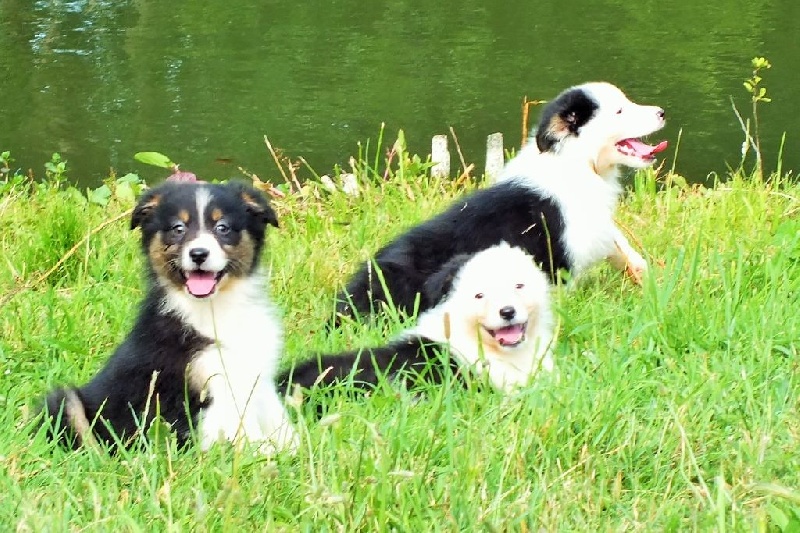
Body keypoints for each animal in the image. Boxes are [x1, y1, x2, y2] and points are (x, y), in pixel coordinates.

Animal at [39, 181, 298, 454]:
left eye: (223, 227)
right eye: (178, 228)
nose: (198, 254)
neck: (215, 307)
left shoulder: (257, 375)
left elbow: (281, 424)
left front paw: (291, 449)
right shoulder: (210, 384)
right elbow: (243, 433)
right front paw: (267, 455)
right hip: (65, 403)